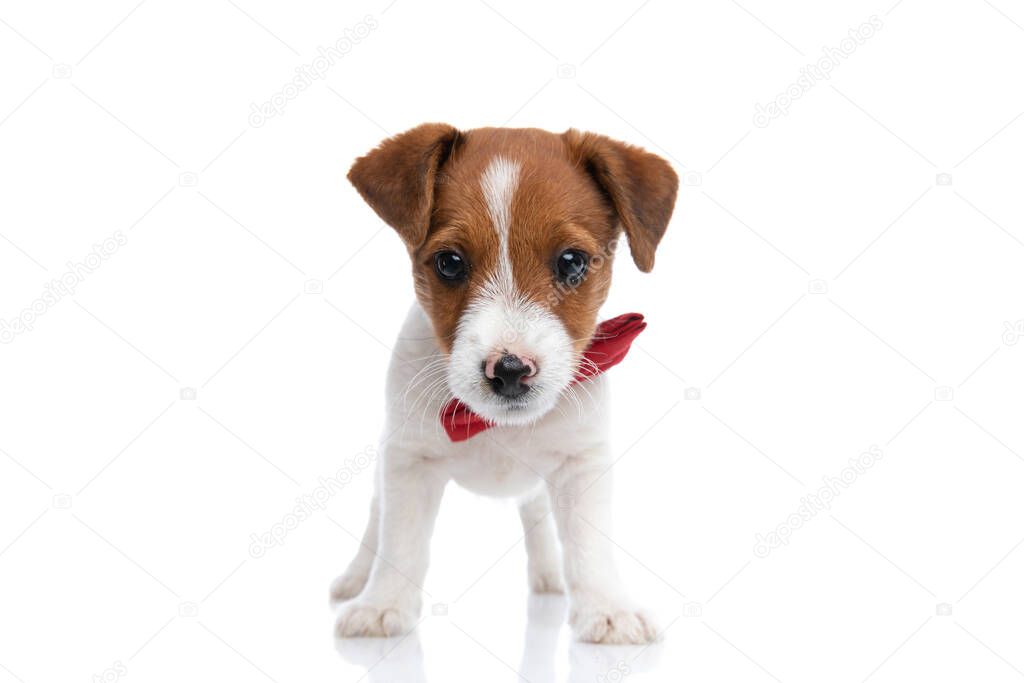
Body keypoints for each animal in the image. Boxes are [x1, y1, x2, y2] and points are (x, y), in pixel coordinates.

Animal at [331, 124, 675, 647]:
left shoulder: (581, 464)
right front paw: (383, 604)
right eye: (450, 263)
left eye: (571, 262)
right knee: (376, 520)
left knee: (537, 516)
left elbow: (589, 544)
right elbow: (401, 540)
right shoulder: (408, 464)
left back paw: (550, 576)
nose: (510, 370)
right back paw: (356, 579)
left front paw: (608, 608)